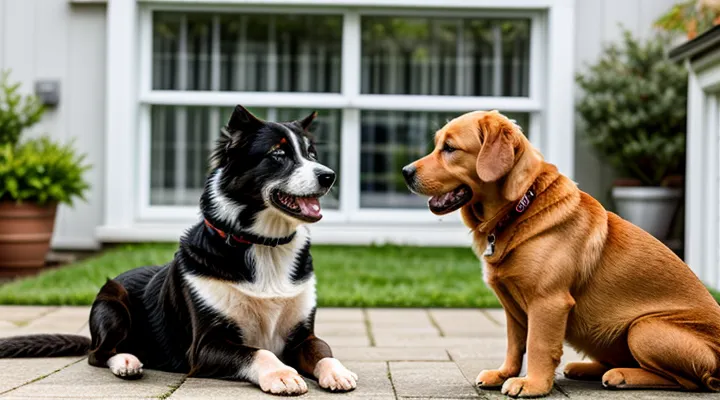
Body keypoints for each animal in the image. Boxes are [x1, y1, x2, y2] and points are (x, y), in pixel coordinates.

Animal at [0, 104, 358, 396]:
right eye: (278, 154)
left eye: (311, 155)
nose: (329, 176)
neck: (263, 246)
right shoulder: (204, 347)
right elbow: (260, 352)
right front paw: (282, 375)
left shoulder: (302, 336)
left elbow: (323, 350)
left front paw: (338, 371)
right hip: (111, 304)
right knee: (97, 355)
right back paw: (126, 360)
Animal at [402, 109, 720, 396]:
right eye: (437, 144)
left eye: (450, 148)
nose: (405, 172)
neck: (520, 208)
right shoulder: (512, 308)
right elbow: (514, 345)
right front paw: (504, 373)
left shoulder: (549, 302)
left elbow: (538, 345)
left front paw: (533, 384)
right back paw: (588, 368)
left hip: (643, 328)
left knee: (689, 381)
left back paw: (621, 375)